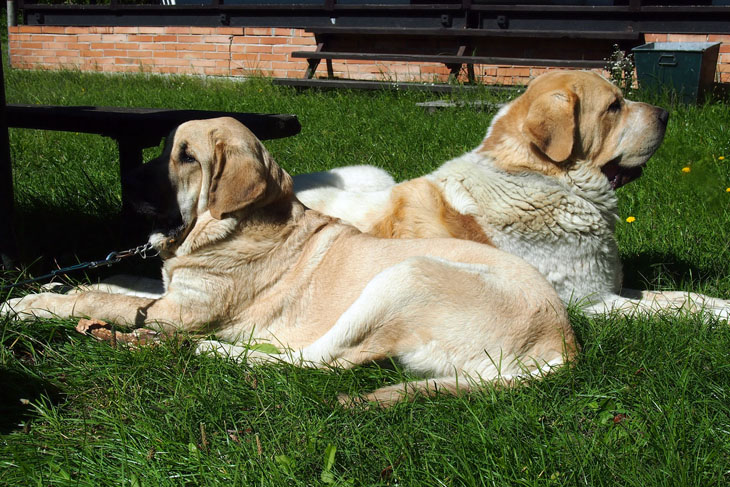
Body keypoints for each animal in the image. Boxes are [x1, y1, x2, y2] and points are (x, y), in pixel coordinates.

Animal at [0, 117, 576, 404]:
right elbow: (117, 281)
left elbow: (103, 297)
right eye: (164, 148)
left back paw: (213, 351)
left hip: (404, 275)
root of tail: (561, 343)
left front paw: (26, 306)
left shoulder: (178, 312)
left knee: (320, 360)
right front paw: (54, 291)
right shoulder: (166, 291)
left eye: (185, 157)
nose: (125, 180)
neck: (226, 225)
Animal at [294, 68, 728, 320]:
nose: (667, 114)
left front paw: (719, 305)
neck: (547, 181)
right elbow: (668, 311)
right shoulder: (590, 301)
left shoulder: (608, 286)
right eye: (613, 107)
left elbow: (679, 297)